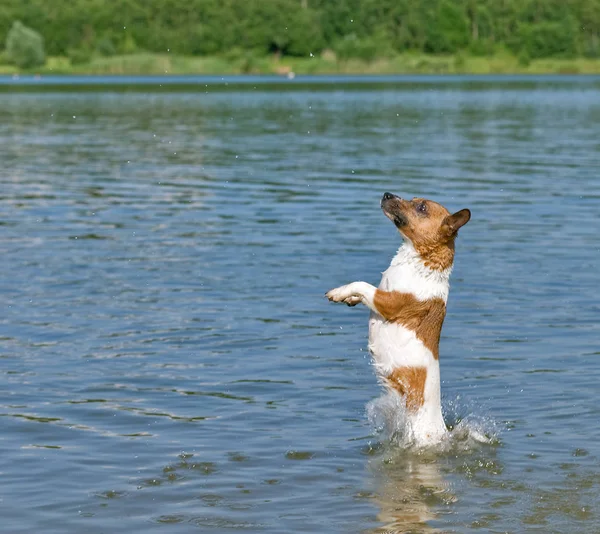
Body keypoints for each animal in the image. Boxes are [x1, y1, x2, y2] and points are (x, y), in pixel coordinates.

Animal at [326, 194, 472, 448]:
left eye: (421, 207)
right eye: (413, 199)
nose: (386, 194)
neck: (421, 262)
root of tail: (440, 433)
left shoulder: (388, 302)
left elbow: (362, 284)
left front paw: (340, 291)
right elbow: (361, 291)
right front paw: (348, 298)